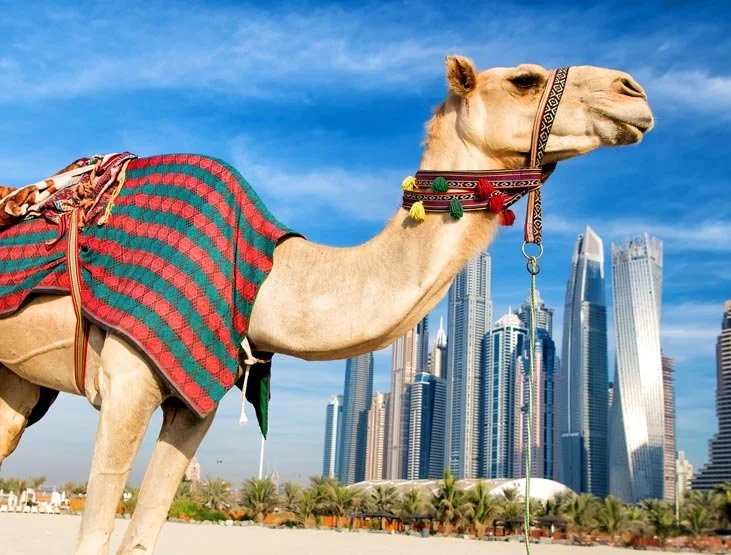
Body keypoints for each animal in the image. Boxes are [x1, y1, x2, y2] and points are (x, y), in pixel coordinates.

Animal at [0, 56, 653, 554]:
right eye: (524, 79)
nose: (635, 93)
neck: (269, 277)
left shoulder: (193, 400)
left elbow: (141, 535)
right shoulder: (129, 379)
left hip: (19, 382)